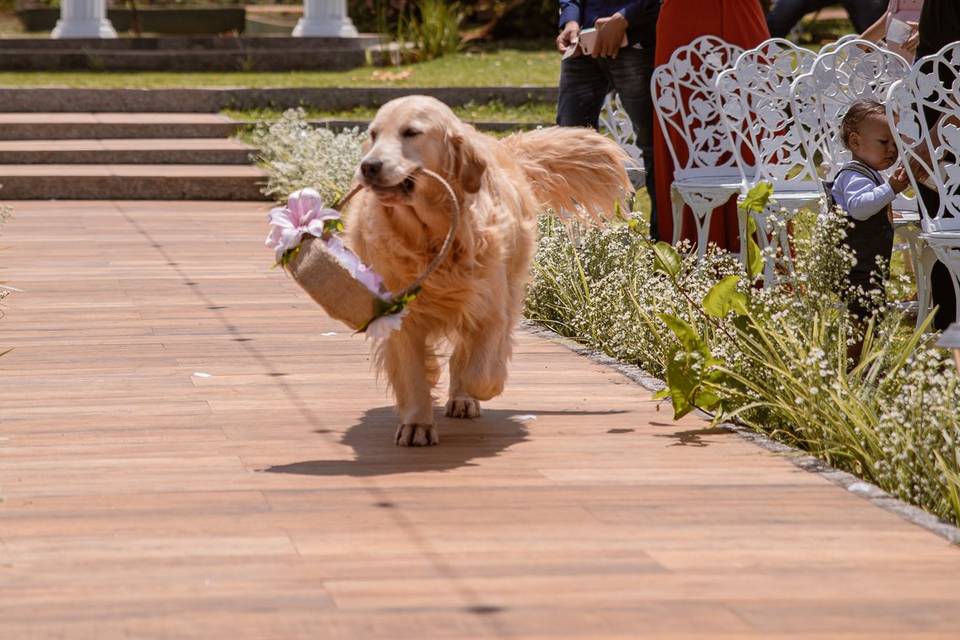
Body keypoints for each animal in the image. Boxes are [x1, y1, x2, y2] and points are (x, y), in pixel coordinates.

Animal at [344, 96, 632, 444]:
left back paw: (463, 397)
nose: (369, 166)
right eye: (373, 134)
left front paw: (471, 389)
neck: (432, 236)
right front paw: (417, 423)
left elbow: (481, 372)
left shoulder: (490, 307)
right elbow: (412, 373)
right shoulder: (402, 316)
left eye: (411, 132)